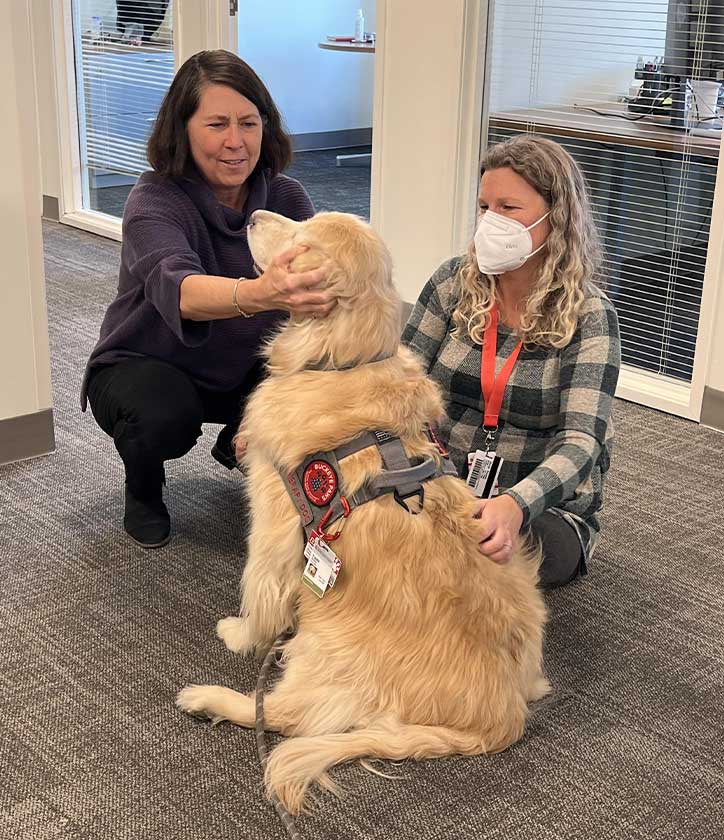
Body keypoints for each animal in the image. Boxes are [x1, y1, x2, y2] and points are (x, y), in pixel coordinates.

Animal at [177, 208, 548, 812]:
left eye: (300, 241)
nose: (252, 215)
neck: (339, 363)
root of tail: (504, 717)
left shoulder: (274, 522)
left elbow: (260, 588)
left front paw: (241, 632)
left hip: (325, 644)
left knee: (281, 715)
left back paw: (207, 698)